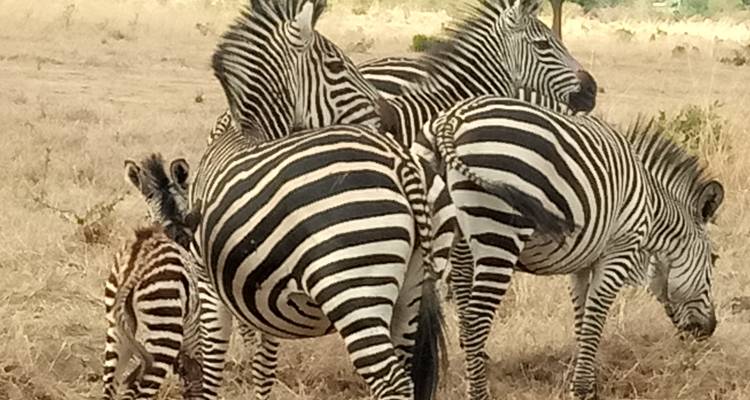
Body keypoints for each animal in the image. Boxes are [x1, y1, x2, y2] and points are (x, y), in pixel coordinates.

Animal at [103, 155, 203, 399]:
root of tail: (132, 269)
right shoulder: (193, 332)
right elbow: (195, 378)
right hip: (162, 333)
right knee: (137, 393)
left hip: (116, 334)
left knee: (110, 388)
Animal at [421, 93, 722, 400]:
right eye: (713, 259)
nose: (710, 329)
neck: (651, 205)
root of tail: (453, 120)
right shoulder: (620, 250)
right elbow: (596, 316)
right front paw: (583, 388)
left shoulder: (583, 261)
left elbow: (583, 318)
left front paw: (587, 380)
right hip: (499, 236)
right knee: (476, 322)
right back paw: (479, 393)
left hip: (448, 239)